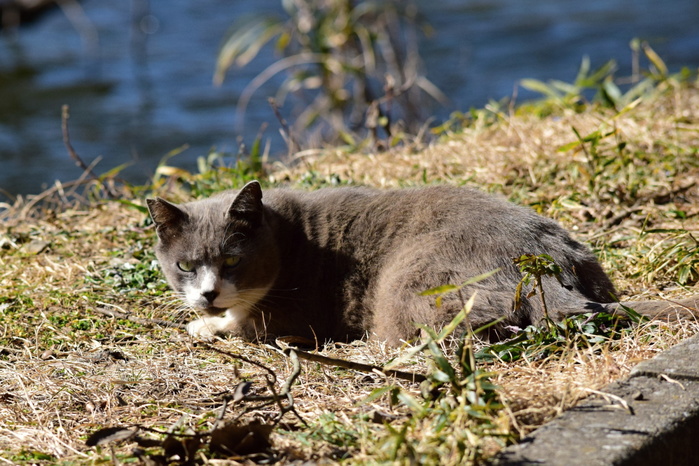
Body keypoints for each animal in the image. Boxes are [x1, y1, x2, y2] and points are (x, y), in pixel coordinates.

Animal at [145, 182, 696, 346]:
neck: (289, 237)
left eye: (231, 259)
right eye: (185, 266)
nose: (207, 293)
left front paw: (202, 324)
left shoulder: (294, 312)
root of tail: (544, 267)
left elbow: (246, 323)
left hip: (409, 286)